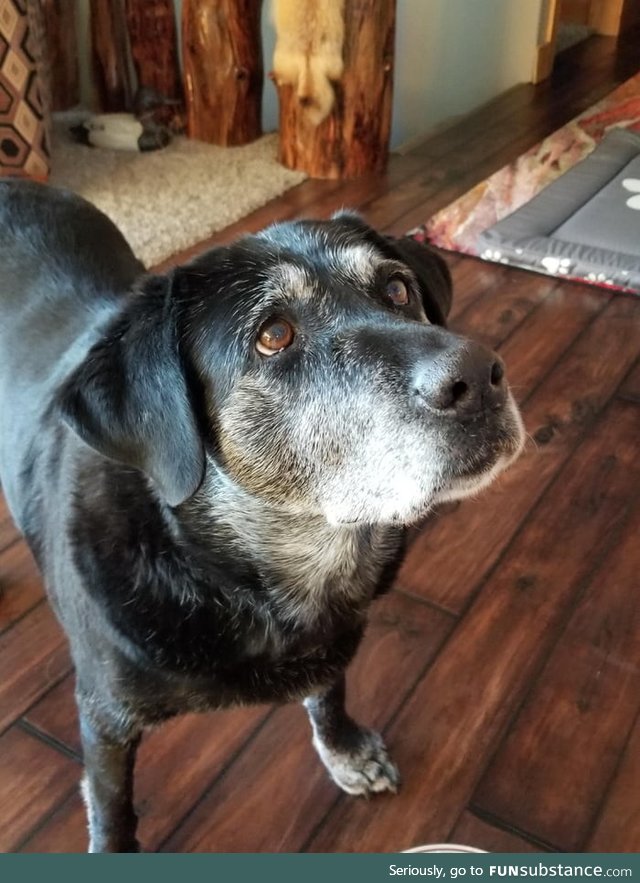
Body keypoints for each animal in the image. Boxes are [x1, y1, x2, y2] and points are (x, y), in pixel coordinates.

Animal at [0, 180, 524, 848]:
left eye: (398, 290)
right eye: (273, 335)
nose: (480, 376)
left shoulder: (333, 641)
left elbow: (329, 693)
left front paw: (344, 750)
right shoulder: (104, 716)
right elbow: (112, 804)